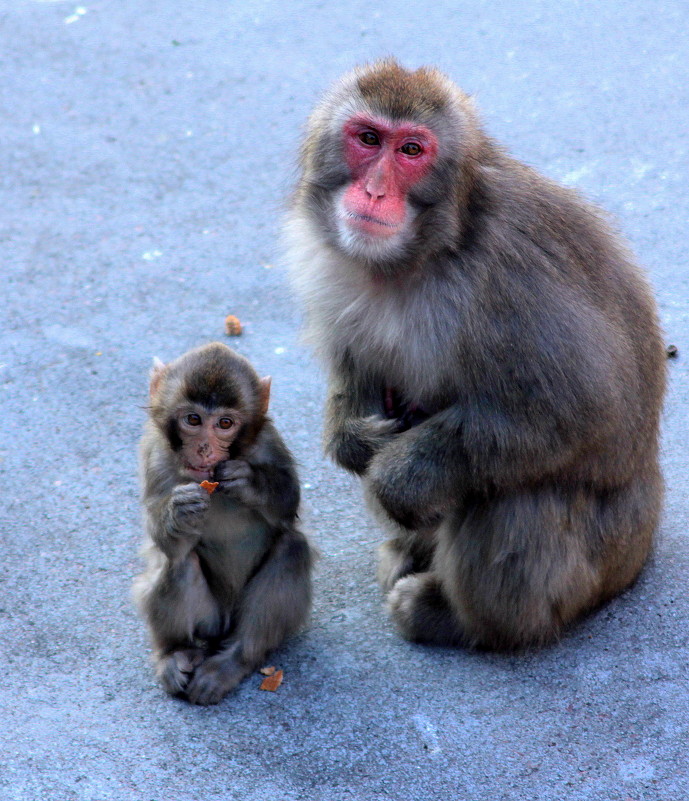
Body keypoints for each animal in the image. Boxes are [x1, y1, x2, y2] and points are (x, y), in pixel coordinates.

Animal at [134, 340, 312, 704]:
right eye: (193, 419)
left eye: (225, 423)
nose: (204, 449)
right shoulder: (154, 453)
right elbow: (163, 539)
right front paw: (177, 511)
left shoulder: (268, 441)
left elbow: (289, 503)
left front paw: (250, 483)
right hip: (209, 620)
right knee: (180, 562)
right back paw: (173, 653)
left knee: (292, 547)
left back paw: (233, 662)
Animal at [282, 61, 664, 648]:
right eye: (368, 139)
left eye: (411, 150)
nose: (373, 191)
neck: (418, 258)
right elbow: (357, 372)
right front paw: (353, 440)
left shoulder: (510, 276)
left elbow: (584, 408)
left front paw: (396, 477)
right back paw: (408, 553)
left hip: (595, 567)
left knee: (518, 492)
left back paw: (458, 621)